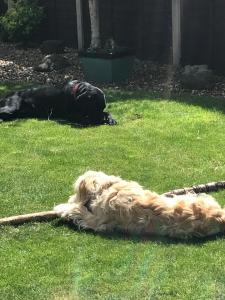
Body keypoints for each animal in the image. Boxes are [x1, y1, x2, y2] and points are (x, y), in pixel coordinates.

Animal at [54, 171, 225, 239]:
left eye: (76, 192)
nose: (71, 197)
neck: (110, 189)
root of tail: (220, 217)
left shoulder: (97, 221)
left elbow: (79, 211)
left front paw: (63, 208)